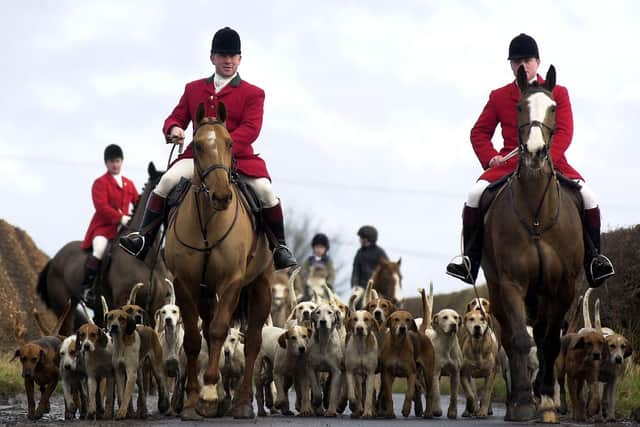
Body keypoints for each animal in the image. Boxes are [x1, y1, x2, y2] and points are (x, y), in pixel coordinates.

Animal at [165, 102, 272, 420]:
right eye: (197, 145)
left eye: (230, 143)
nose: (222, 196)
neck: (207, 220)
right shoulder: (185, 283)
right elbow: (192, 339)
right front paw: (192, 402)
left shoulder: (231, 282)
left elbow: (218, 331)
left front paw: (210, 393)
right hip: (205, 291)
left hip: (261, 286)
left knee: (252, 342)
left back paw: (242, 403)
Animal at [482, 65, 584, 422]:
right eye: (518, 107)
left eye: (553, 107)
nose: (536, 153)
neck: (537, 216)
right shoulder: (511, 283)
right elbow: (519, 341)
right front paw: (525, 401)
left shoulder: (564, 286)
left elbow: (550, 341)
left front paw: (548, 399)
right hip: (498, 289)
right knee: (513, 337)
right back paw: (517, 400)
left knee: (541, 333)